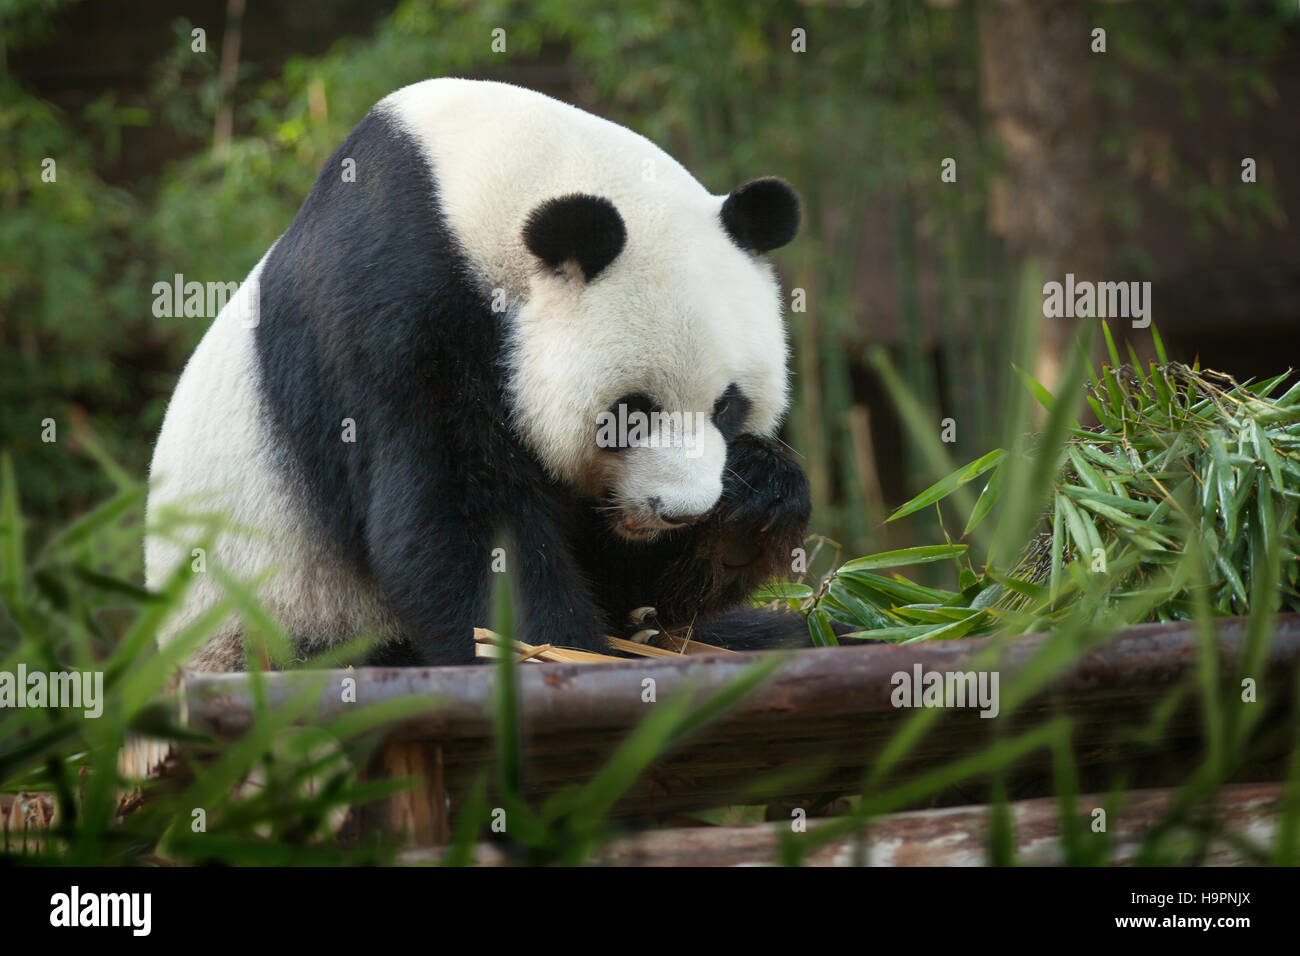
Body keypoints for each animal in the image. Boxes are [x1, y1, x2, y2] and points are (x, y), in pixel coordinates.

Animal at [144, 78, 811, 671]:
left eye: (727, 406)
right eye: (632, 411)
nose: (680, 511)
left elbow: (628, 586)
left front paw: (754, 501)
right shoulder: (395, 301)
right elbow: (459, 515)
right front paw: (556, 649)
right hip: (278, 622)